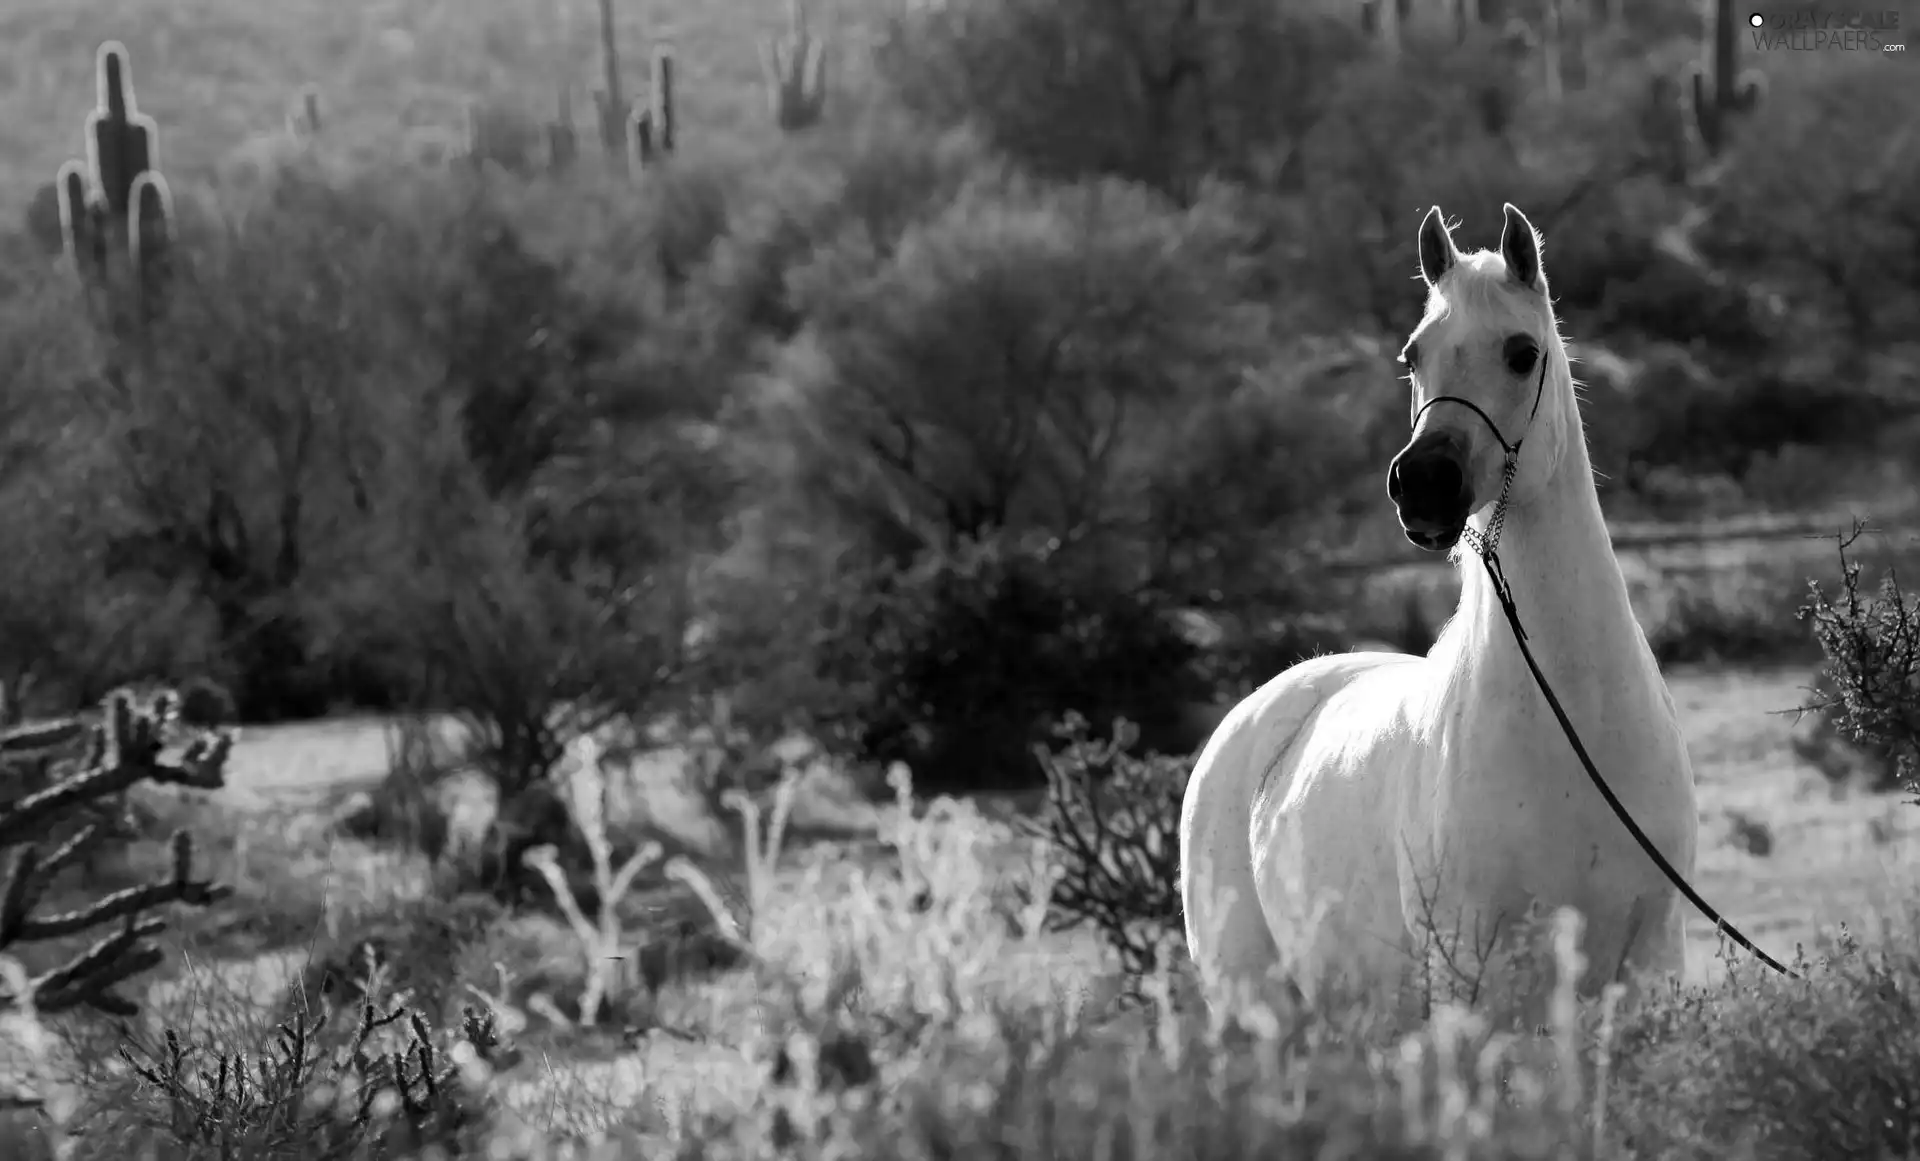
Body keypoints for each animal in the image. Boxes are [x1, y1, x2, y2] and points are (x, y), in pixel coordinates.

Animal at [1175, 203, 1704, 1020]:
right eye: (1413, 355)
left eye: (1522, 353)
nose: (1422, 483)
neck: (1574, 712)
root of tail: (1249, 717)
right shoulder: (1474, 974)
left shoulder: (1649, 962)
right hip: (1253, 1007)